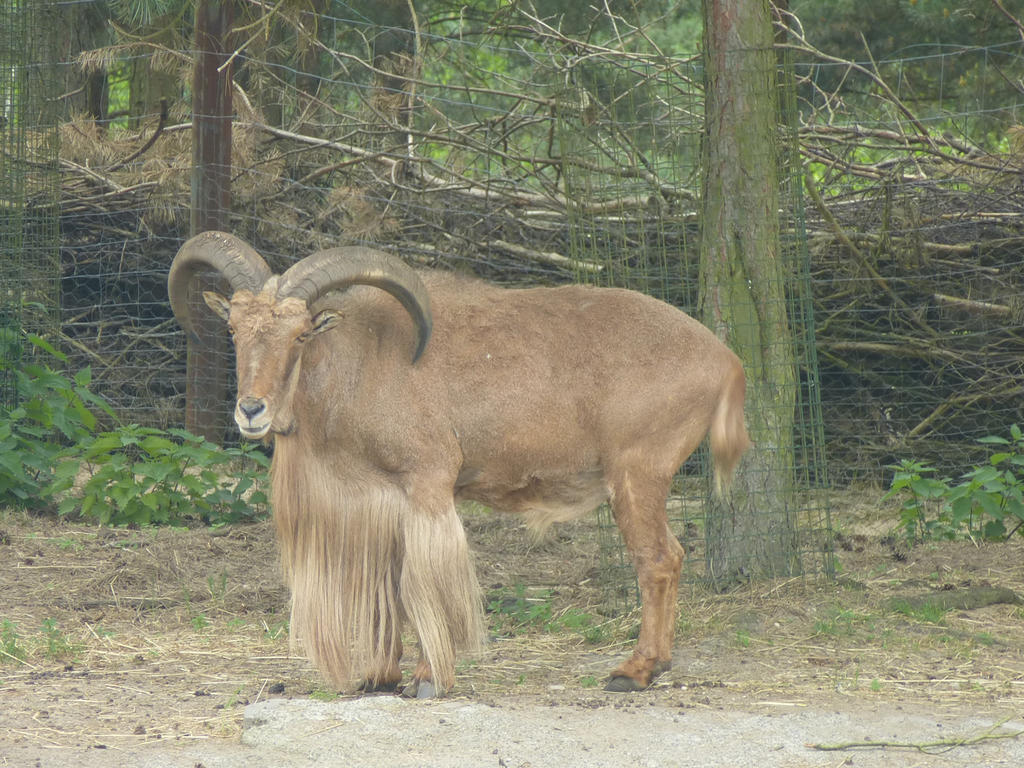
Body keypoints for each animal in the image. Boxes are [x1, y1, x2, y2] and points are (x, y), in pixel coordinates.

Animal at [165, 231, 745, 700]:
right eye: (235, 330)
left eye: (302, 333)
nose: (251, 410)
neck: (364, 362)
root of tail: (724, 360)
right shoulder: (382, 502)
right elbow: (392, 584)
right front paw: (379, 677)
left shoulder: (428, 486)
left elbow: (423, 584)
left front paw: (427, 680)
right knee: (671, 556)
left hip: (637, 476)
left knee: (658, 560)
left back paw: (634, 671)